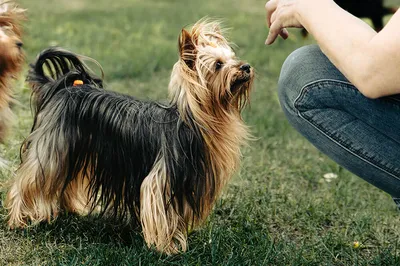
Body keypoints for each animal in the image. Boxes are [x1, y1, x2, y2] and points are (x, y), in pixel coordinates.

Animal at [6, 20, 255, 254]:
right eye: (218, 64)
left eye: (233, 58)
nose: (246, 66)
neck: (196, 120)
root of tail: (62, 88)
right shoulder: (160, 180)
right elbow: (160, 213)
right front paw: (165, 247)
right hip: (51, 149)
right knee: (27, 181)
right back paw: (18, 220)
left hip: (73, 149)